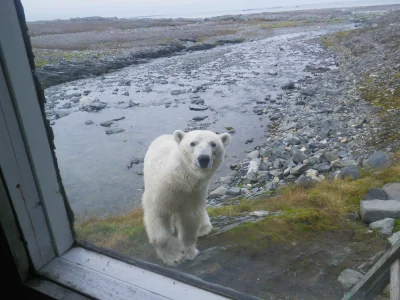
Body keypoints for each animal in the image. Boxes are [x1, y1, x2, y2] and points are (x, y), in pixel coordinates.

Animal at [143, 130, 231, 266]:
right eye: (192, 143)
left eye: (213, 144)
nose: (203, 158)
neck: (179, 180)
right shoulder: (162, 190)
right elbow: (158, 215)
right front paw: (174, 257)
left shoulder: (194, 192)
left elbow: (189, 219)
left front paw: (189, 252)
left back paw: (204, 228)